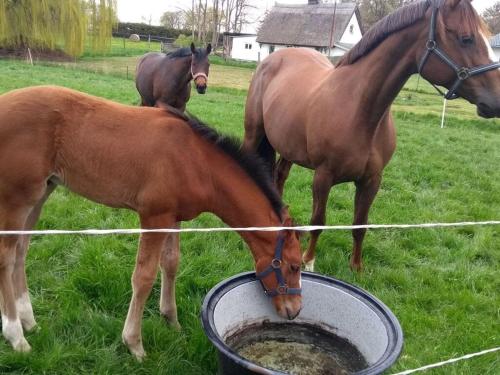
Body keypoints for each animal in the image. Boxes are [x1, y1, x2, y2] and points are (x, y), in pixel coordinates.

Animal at [0, 86, 300, 362]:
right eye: (295, 266)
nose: (294, 310)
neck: (197, 162)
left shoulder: (172, 218)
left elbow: (171, 263)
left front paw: (171, 320)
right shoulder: (154, 217)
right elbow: (143, 277)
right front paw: (134, 343)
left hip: (41, 193)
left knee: (21, 252)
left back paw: (29, 321)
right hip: (16, 199)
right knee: (7, 257)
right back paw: (17, 336)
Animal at [242, 0, 500, 272]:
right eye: (466, 38)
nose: (496, 100)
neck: (361, 111)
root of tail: (273, 58)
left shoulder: (372, 180)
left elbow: (360, 225)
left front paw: (356, 267)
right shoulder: (323, 177)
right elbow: (318, 220)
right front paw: (308, 261)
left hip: (288, 147)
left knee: (279, 176)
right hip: (254, 135)